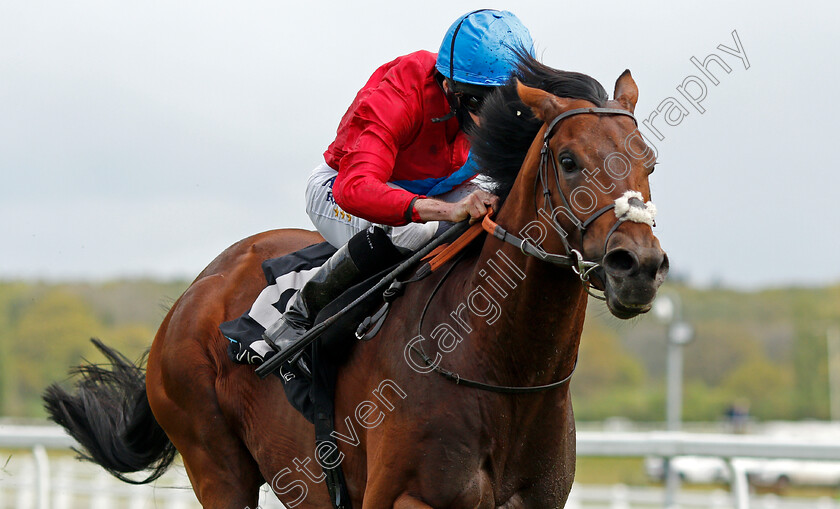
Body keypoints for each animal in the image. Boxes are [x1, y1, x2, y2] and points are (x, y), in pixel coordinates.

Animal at [46, 55, 668, 508]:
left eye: (650, 161)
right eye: (567, 160)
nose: (636, 266)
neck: (503, 370)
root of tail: (191, 295)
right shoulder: (407, 498)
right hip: (215, 463)